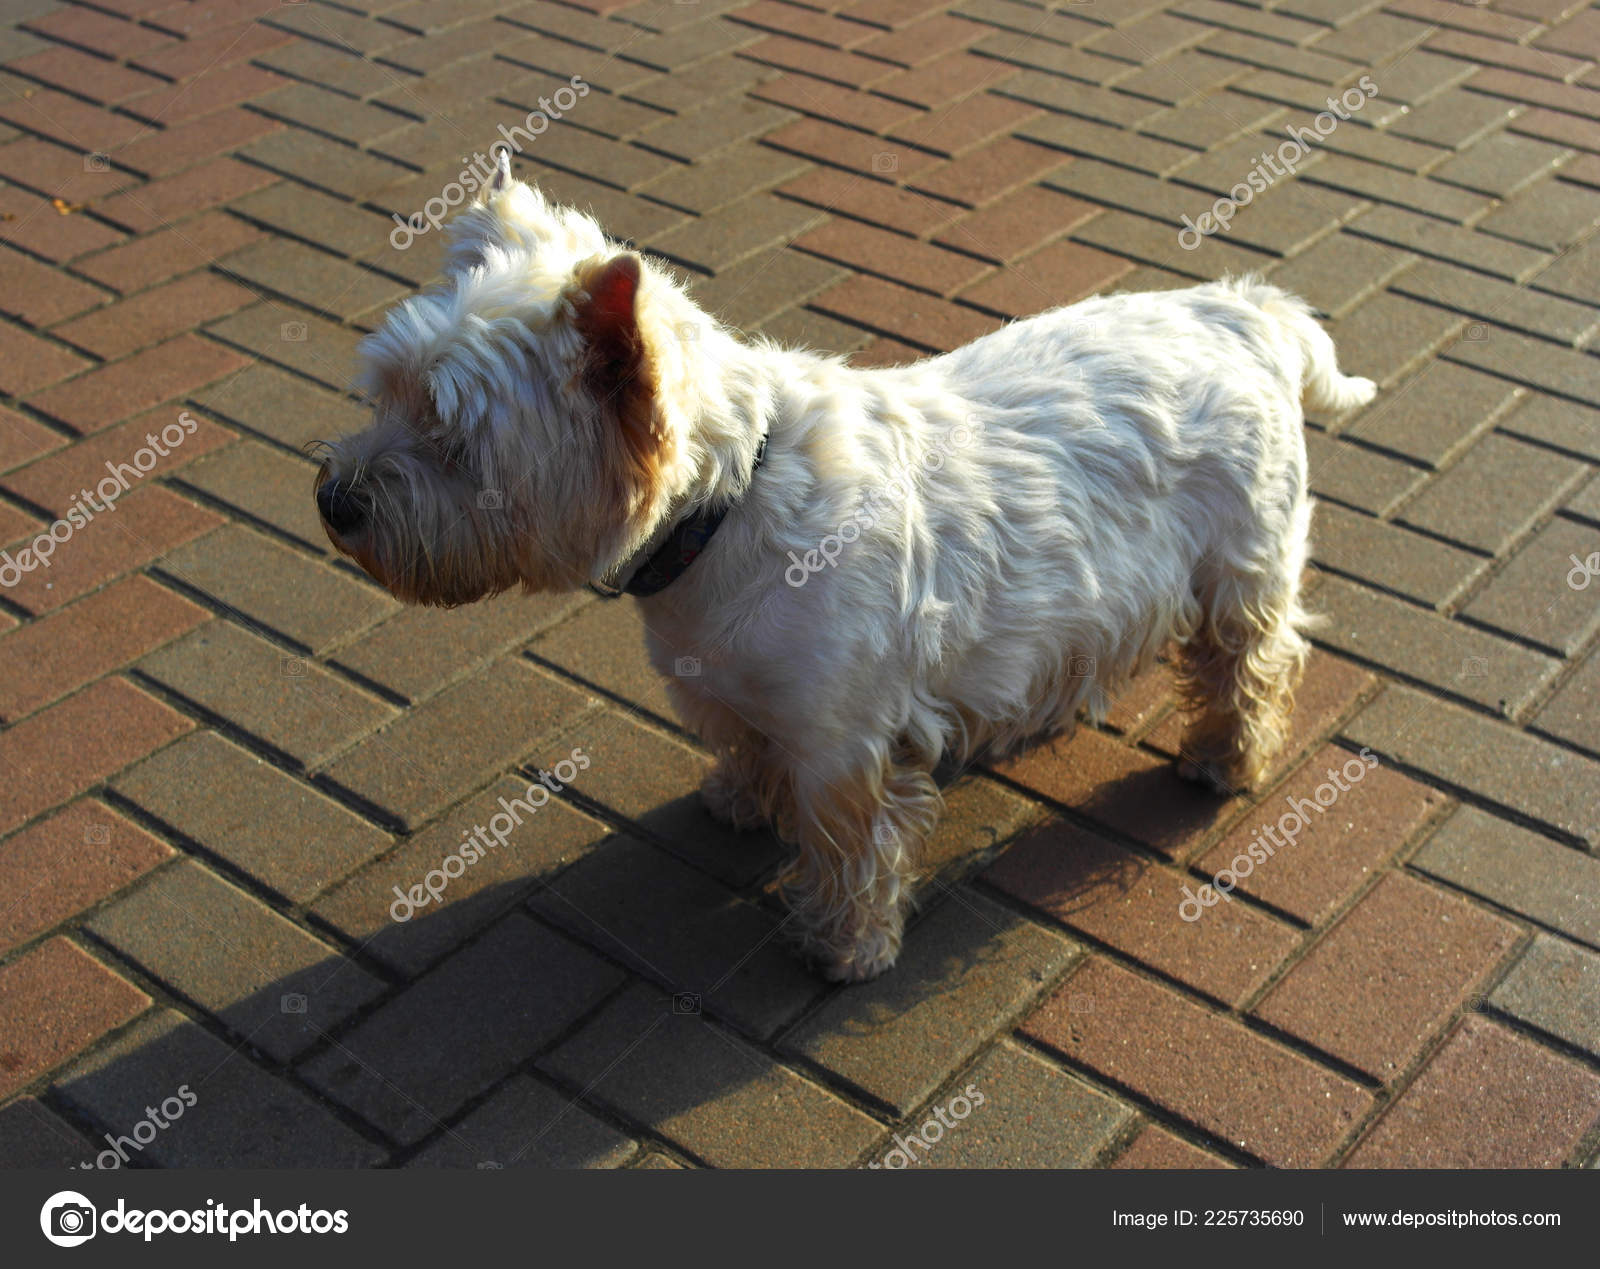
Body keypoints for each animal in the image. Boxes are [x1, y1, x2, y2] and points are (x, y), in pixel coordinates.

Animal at [315, 151, 1376, 979]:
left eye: (455, 441)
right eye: (385, 393)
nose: (335, 502)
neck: (724, 506)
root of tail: (1243, 313)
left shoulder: (839, 737)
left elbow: (851, 844)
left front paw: (843, 947)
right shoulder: (729, 688)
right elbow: (744, 746)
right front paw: (736, 803)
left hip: (1240, 558)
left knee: (1250, 660)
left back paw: (1226, 759)